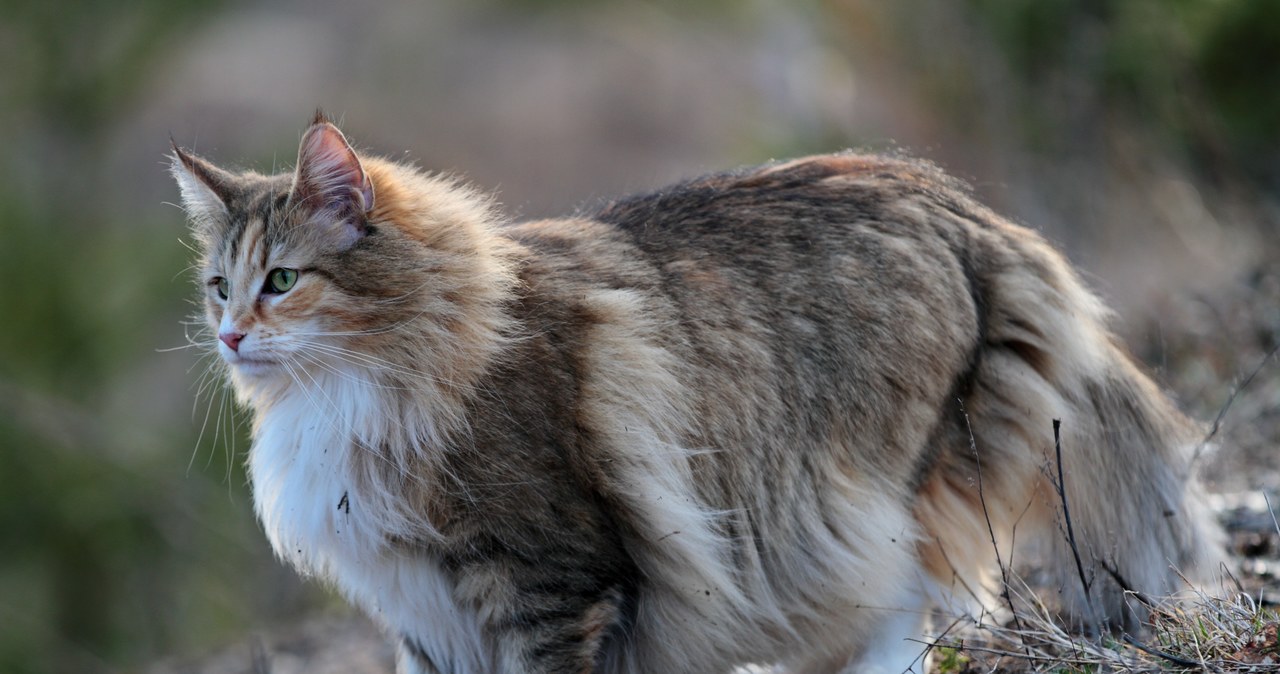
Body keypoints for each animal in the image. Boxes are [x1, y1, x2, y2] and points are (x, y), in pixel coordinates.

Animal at [170, 113, 1218, 670]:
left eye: (282, 281)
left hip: (860, 497)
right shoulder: (427, 618)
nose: (229, 336)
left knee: (908, 601)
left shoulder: (550, 579)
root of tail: (952, 200)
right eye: (220, 285)